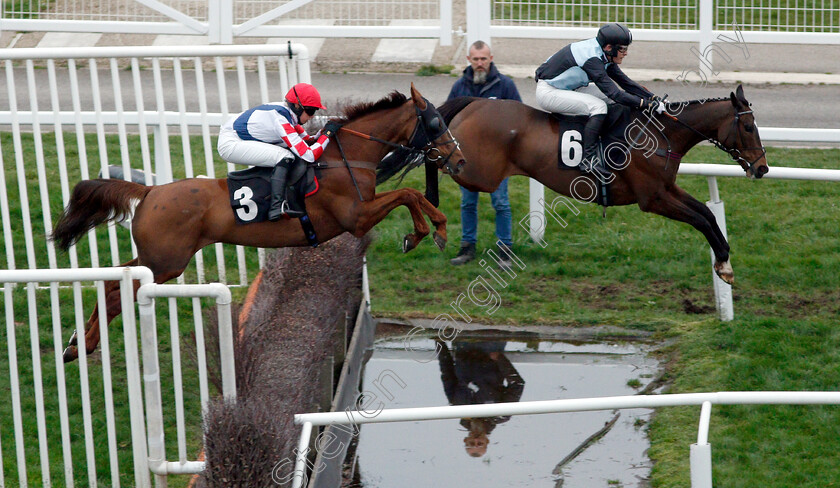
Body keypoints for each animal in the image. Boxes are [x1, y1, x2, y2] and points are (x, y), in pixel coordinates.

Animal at [52, 84, 466, 362]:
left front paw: (426, 231)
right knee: (116, 291)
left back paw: (77, 343)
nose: (460, 161)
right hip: (166, 261)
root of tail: (151, 190)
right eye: (435, 121)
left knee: (112, 281)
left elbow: (411, 196)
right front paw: (432, 231)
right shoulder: (356, 218)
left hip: (157, 259)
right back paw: (83, 345)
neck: (346, 158)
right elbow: (409, 194)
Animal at [436, 82, 772, 284]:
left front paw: (724, 261)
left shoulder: (665, 189)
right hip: (477, 172)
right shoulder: (652, 199)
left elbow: (707, 214)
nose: (762, 167)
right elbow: (699, 220)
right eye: (747, 126)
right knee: (439, 163)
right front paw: (723, 264)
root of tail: (475, 102)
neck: (660, 135)